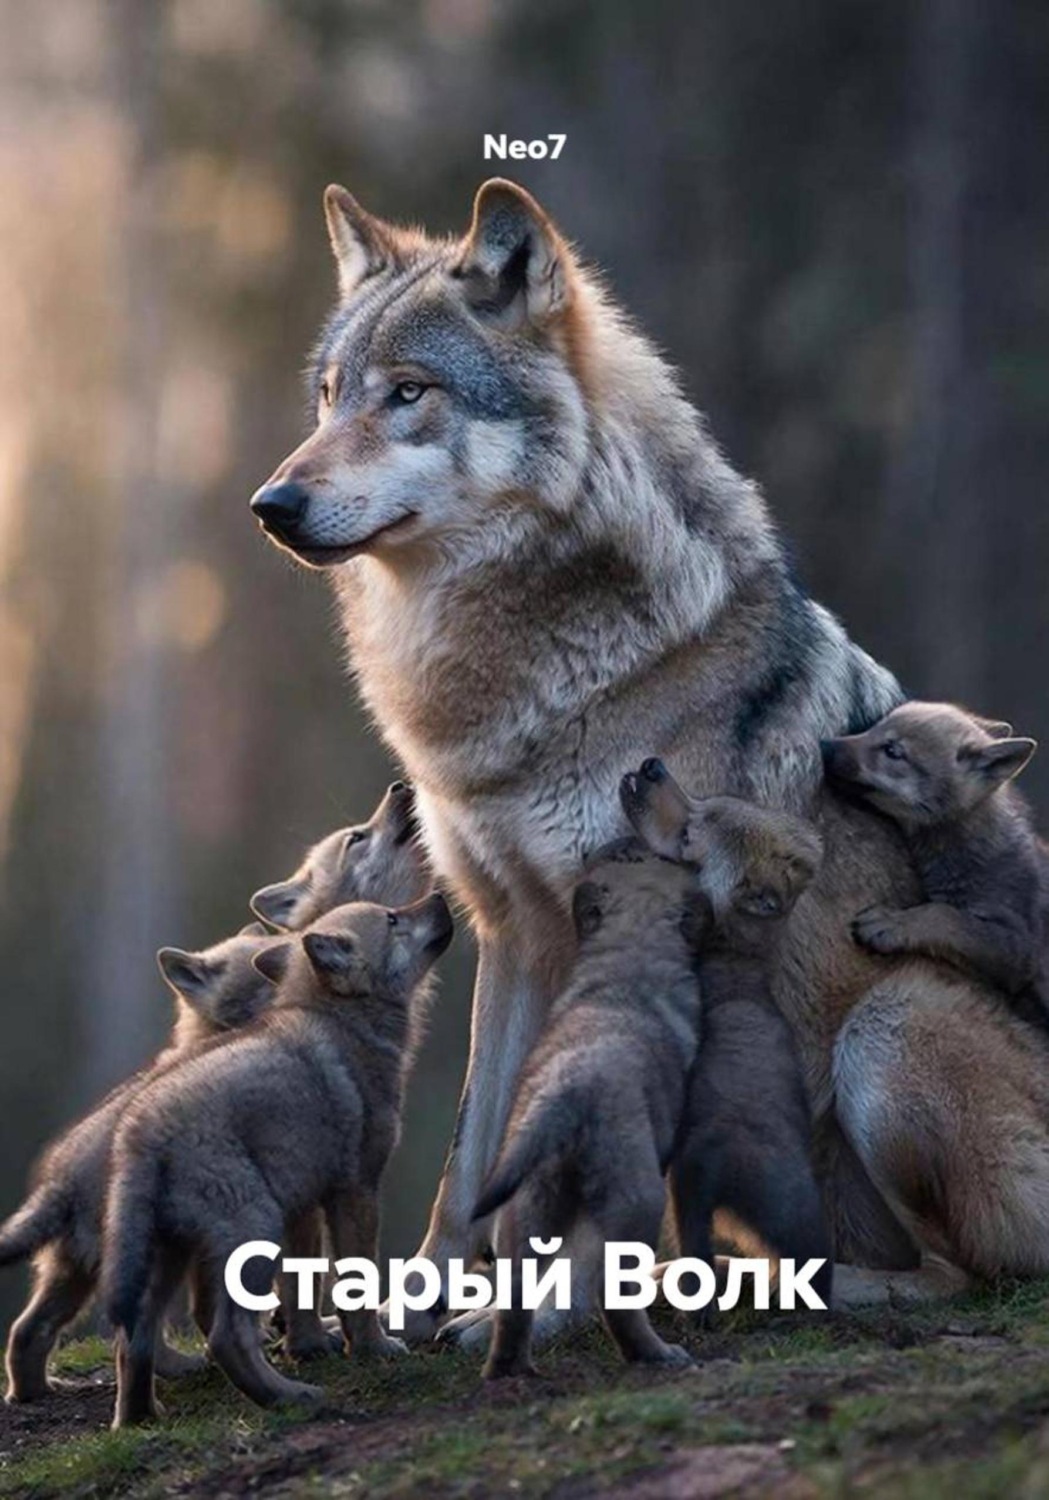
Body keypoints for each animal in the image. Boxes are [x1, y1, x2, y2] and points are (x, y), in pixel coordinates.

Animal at [0, 924, 275, 1403]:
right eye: (262, 968)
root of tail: (61, 1182)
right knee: (133, 1332)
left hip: (74, 1273)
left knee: (28, 1331)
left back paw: (34, 1393)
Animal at [103, 894, 453, 1426]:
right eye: (392, 918)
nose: (440, 895)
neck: (343, 1023)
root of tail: (142, 1133)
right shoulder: (355, 1191)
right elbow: (355, 1284)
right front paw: (372, 1349)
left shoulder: (309, 1203)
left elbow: (310, 1285)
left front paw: (317, 1345)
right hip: (254, 1228)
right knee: (225, 1336)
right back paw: (291, 1396)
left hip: (172, 1252)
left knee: (134, 1339)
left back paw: (140, 1419)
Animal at [472, 841, 703, 1378]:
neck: (629, 957)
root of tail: (564, 1095)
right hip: (636, 1201)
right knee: (612, 1295)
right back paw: (657, 1354)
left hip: (528, 1207)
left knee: (516, 1297)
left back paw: (507, 1369)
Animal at [821, 704, 1043, 1013]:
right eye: (873, 729)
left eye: (893, 751)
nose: (824, 745)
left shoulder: (1017, 947)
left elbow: (943, 914)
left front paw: (892, 923)